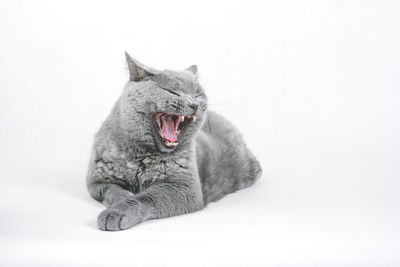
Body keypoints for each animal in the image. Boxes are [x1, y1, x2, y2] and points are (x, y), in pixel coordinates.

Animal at [86, 52, 262, 232]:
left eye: (197, 95)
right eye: (172, 91)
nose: (194, 104)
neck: (140, 154)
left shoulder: (185, 187)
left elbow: (145, 197)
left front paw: (116, 213)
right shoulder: (97, 181)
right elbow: (111, 190)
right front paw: (124, 197)